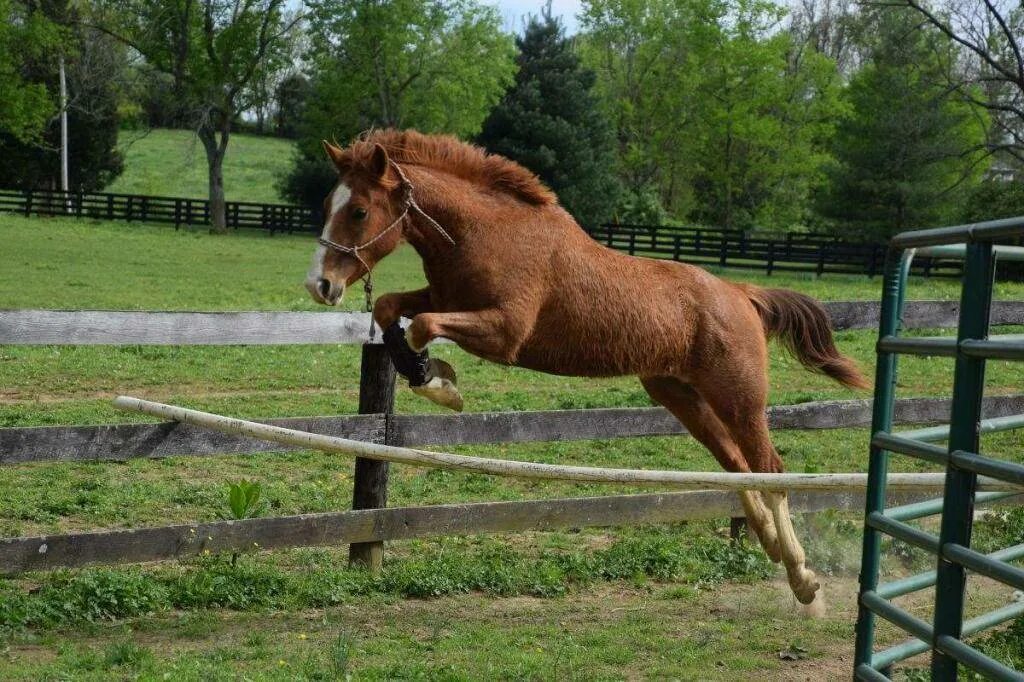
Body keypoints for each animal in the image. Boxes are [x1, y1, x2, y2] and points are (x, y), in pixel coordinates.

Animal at [303, 129, 864, 606]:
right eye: (328, 206)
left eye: (358, 211)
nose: (320, 286)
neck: (483, 232)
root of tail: (742, 294)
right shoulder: (444, 299)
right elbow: (390, 310)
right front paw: (430, 374)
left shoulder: (504, 331)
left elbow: (420, 327)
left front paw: (439, 382)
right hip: (680, 395)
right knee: (736, 465)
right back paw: (770, 546)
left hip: (739, 400)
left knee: (772, 469)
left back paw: (803, 578)